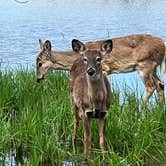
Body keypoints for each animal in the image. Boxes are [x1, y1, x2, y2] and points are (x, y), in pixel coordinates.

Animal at [36, 34, 166, 102]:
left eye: (40, 63)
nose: (38, 78)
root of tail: (163, 43)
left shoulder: (105, 69)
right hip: (153, 67)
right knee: (160, 84)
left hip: (145, 65)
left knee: (151, 86)